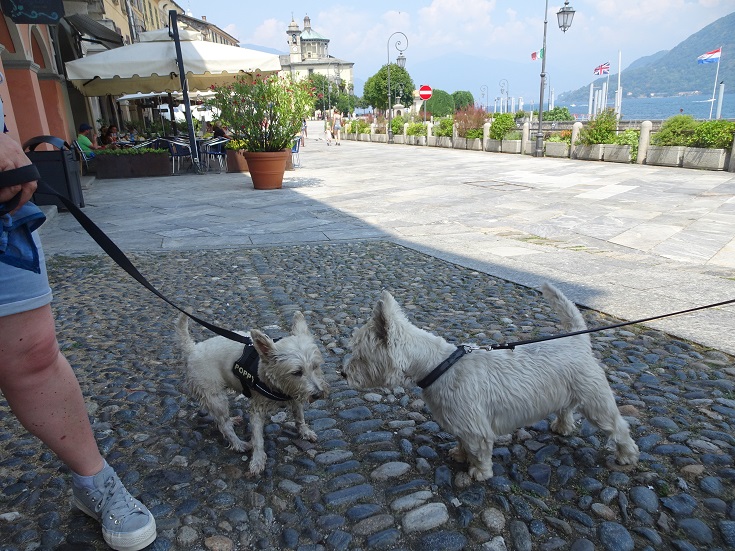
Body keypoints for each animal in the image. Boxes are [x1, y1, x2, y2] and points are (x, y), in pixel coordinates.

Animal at [175, 312, 328, 476]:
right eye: (297, 372)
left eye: (315, 366)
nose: (318, 394)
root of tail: (191, 349)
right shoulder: (257, 409)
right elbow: (258, 438)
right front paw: (258, 460)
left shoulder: (295, 395)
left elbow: (299, 417)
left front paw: (305, 432)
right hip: (215, 396)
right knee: (224, 424)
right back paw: (239, 444)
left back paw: (233, 420)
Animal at [344, 282, 640, 480]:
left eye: (359, 355)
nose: (343, 374)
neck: (439, 365)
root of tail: (577, 340)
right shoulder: (462, 422)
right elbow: (463, 443)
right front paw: (459, 455)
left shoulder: (476, 428)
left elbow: (478, 450)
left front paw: (478, 472)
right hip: (564, 391)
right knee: (566, 409)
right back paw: (562, 427)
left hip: (595, 400)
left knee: (617, 426)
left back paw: (626, 455)